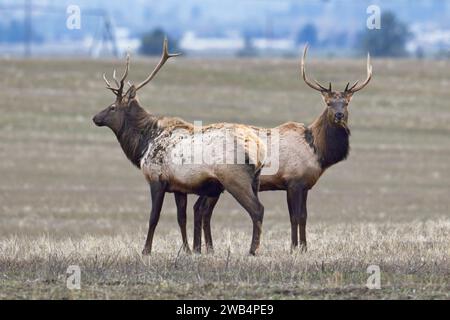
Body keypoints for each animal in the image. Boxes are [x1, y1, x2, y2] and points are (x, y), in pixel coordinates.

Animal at [92, 39, 268, 255]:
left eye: (112, 107)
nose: (95, 118)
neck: (143, 144)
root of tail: (258, 147)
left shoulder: (156, 179)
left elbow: (153, 217)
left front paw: (146, 250)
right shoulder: (179, 187)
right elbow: (181, 218)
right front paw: (186, 249)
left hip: (235, 178)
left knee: (257, 209)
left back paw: (253, 249)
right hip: (255, 180)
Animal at [192, 45, 370, 255]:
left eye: (346, 103)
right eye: (328, 103)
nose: (339, 115)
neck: (317, 152)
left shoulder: (305, 184)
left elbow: (304, 216)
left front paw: (304, 247)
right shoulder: (292, 181)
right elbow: (294, 217)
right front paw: (293, 247)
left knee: (202, 210)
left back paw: (206, 249)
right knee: (202, 210)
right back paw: (204, 249)